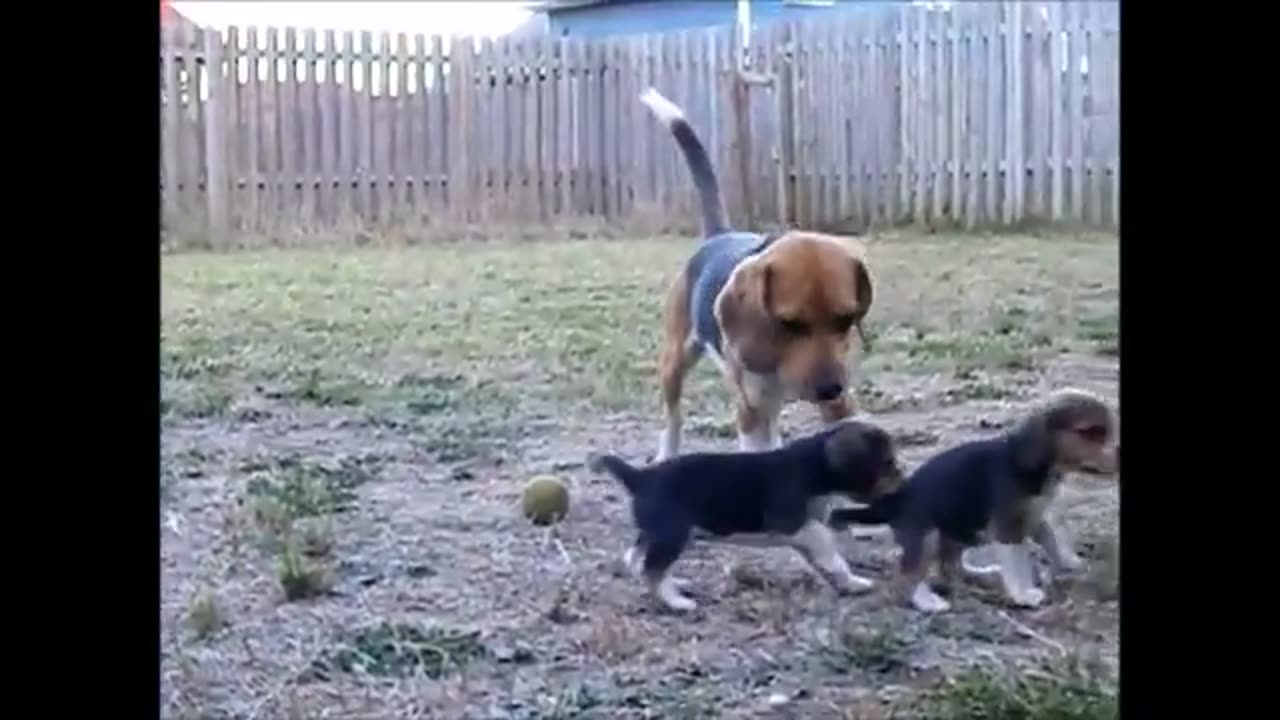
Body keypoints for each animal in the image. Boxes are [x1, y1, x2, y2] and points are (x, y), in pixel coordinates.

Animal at [586, 420, 901, 609]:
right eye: (888, 463)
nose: (901, 483)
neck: (813, 464)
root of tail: (639, 477)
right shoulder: (791, 522)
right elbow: (824, 541)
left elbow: (828, 562)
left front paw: (851, 584)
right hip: (672, 534)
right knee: (652, 568)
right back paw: (676, 602)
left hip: (657, 533)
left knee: (636, 559)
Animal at [829, 386, 1121, 609]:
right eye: (1091, 432)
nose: (1120, 454)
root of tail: (895, 500)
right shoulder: (1008, 526)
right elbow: (1018, 562)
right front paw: (1024, 593)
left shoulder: (1037, 514)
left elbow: (1054, 541)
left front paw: (1070, 563)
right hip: (926, 537)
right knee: (908, 577)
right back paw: (927, 602)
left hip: (959, 532)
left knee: (950, 565)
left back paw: (978, 573)